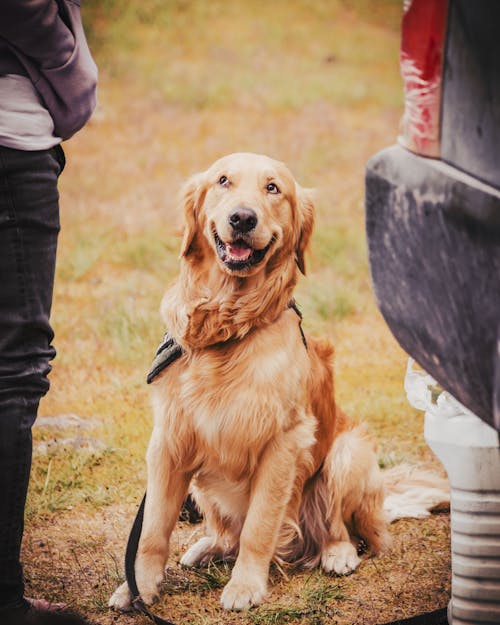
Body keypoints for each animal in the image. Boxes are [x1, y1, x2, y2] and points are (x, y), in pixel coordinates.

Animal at [110, 154, 450, 612]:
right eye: (223, 181)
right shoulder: (169, 440)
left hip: (347, 452)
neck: (229, 326)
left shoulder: (284, 442)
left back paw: (337, 554)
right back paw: (207, 547)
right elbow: (152, 531)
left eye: (273, 189)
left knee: (337, 527)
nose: (242, 217)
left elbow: (259, 526)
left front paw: (245, 586)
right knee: (227, 534)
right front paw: (138, 587)